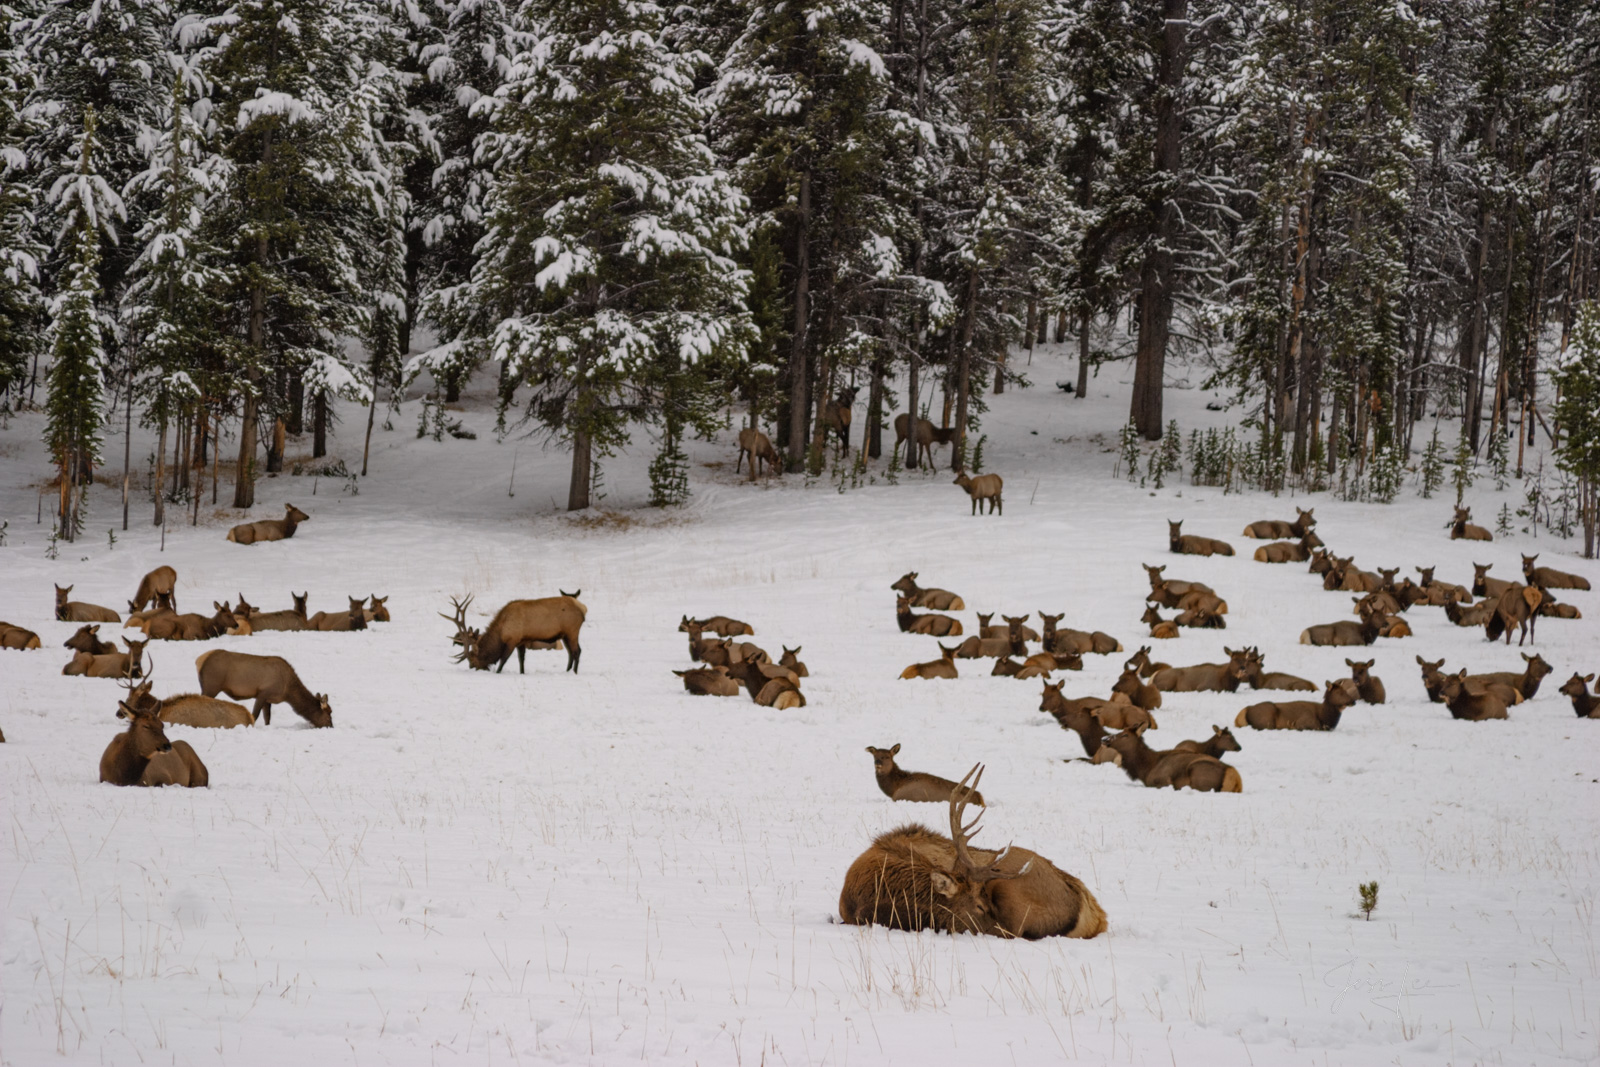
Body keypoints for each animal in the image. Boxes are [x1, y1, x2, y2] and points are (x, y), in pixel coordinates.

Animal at [197, 646, 334, 729]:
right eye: (328, 716)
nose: (331, 727)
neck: (288, 692)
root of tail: (199, 660)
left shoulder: (268, 700)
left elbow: (267, 718)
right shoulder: (262, 693)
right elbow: (255, 715)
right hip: (211, 686)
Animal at [441, 598, 585, 671]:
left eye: (472, 658)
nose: (472, 667)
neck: (502, 631)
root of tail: (583, 610)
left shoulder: (512, 640)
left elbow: (503, 659)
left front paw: (498, 672)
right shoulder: (521, 641)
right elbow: (522, 660)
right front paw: (522, 673)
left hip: (572, 630)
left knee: (577, 651)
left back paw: (574, 672)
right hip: (565, 635)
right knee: (571, 653)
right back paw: (567, 670)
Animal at [1228, 681, 1356, 729]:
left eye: (1345, 690)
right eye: (1339, 693)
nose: (1353, 701)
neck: (1324, 719)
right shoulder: (1303, 723)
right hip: (1267, 720)